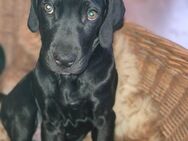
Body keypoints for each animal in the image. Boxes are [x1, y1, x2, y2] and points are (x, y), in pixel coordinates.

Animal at [0, 0, 125, 140]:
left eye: (92, 14)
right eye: (48, 8)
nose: (64, 61)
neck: (69, 80)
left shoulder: (103, 118)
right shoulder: (51, 123)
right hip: (23, 112)